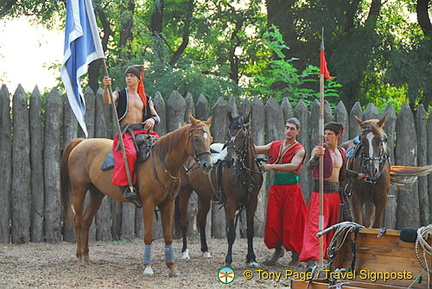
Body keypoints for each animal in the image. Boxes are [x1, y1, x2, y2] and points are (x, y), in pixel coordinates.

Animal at [61, 114, 213, 276]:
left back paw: (87, 256)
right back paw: (79, 257)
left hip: (97, 194)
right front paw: (147, 267)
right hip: (79, 190)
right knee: (78, 221)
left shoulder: (168, 204)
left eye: (210, 138)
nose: (207, 165)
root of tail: (81, 143)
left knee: (86, 221)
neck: (162, 161)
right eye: (196, 139)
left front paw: (172, 267)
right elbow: (148, 235)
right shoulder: (148, 204)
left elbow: (168, 236)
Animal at [176, 112, 264, 266]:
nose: (229, 160)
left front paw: (251, 258)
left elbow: (250, 231)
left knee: (202, 221)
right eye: (228, 135)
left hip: (204, 196)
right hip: (184, 192)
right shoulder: (231, 202)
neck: (246, 172)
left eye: (243, 135)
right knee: (184, 222)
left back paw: (205, 250)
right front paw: (228, 260)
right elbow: (231, 233)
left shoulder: (252, 201)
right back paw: (185, 252)